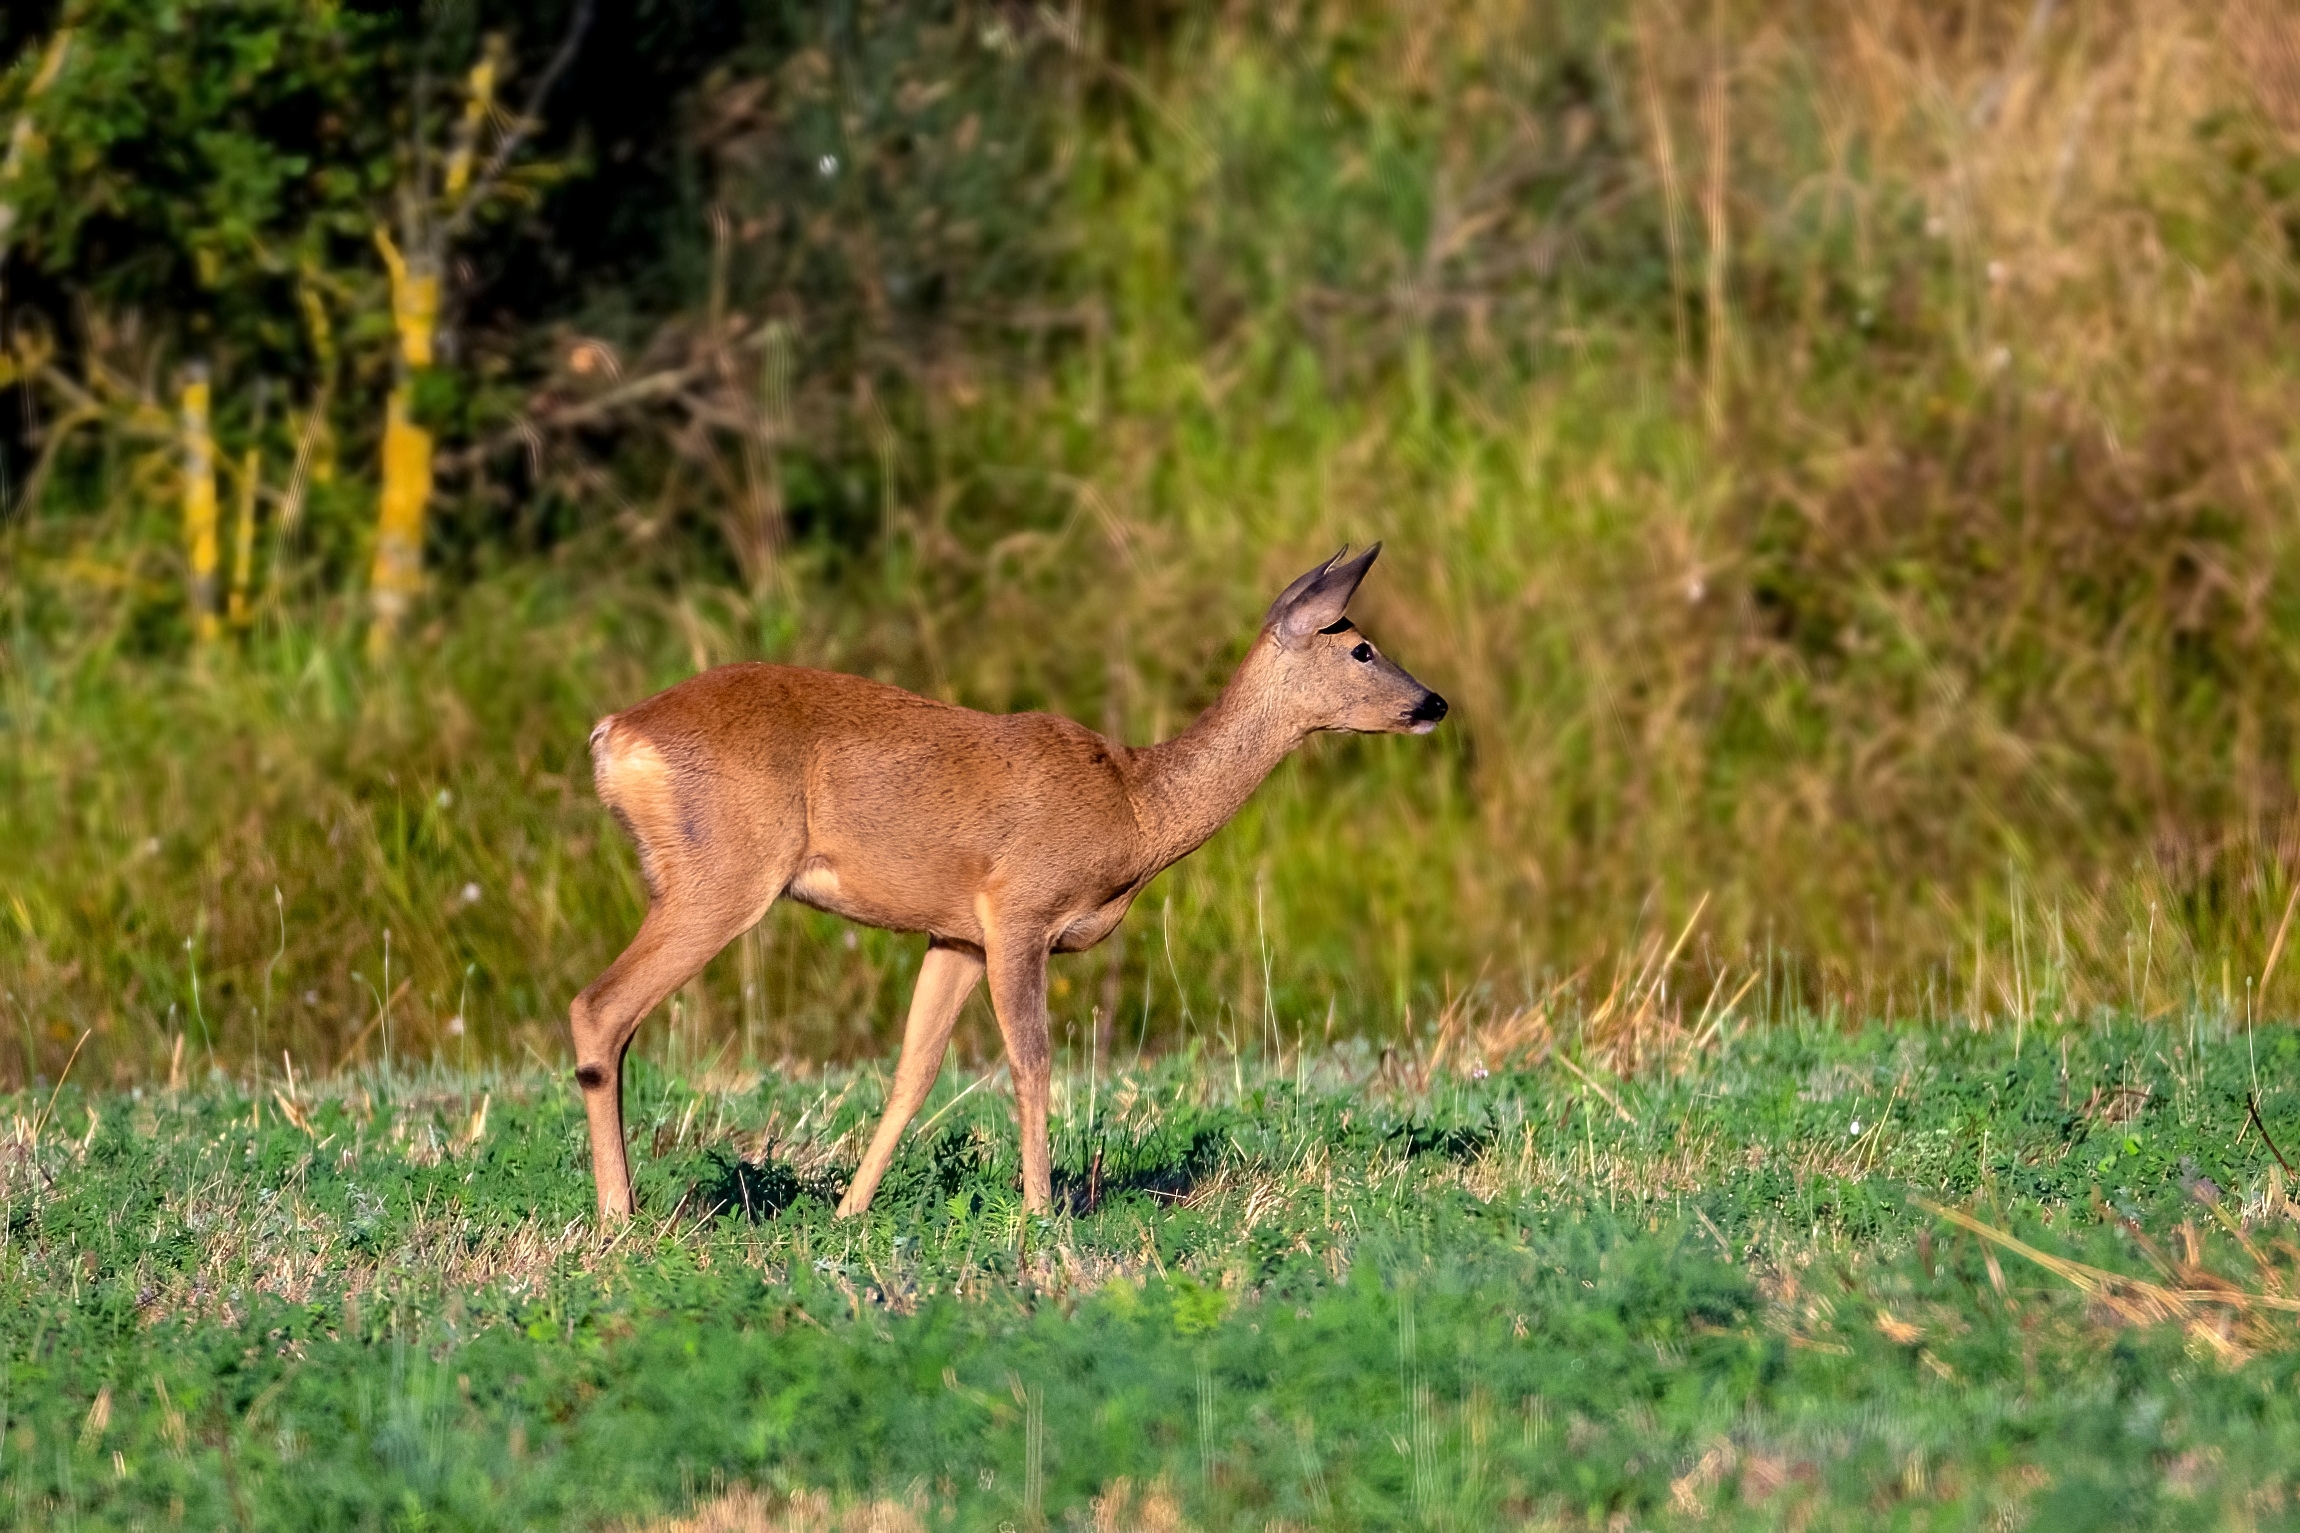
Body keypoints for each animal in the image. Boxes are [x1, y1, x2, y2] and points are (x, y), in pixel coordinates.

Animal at [570, 544, 1446, 1222]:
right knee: (599, 1006)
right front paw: (1038, 1209)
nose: (1434, 701)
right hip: (721, 873)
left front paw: (849, 1210)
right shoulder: (1020, 908)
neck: (1135, 808)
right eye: (1361, 647)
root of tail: (614, 733)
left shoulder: (955, 933)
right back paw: (619, 1216)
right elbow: (1033, 1059)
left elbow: (913, 1071)